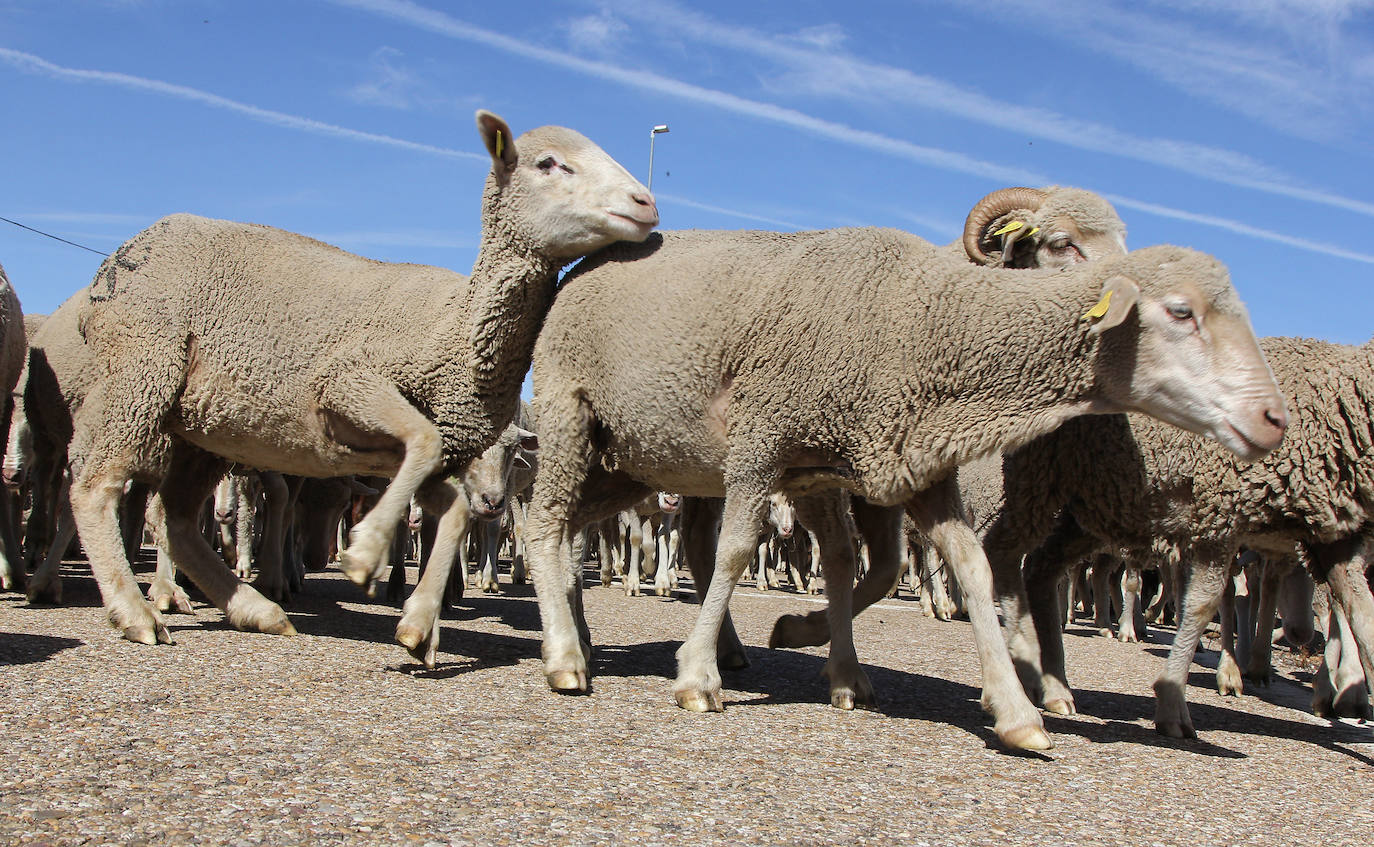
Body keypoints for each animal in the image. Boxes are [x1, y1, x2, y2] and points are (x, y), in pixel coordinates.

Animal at [66, 109, 656, 646]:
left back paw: (256, 611)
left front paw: (419, 623)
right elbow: (423, 443)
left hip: (201, 428)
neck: (451, 328)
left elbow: (454, 511)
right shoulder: (348, 383)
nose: (646, 204)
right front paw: (364, 553)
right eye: (549, 163)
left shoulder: (407, 454)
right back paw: (137, 612)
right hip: (141, 367)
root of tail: (118, 258)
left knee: (179, 521)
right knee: (97, 486)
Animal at [524, 222, 1286, 748]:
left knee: (570, 526)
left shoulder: (914, 471)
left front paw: (1016, 714)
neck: (921, 324)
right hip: (569, 409)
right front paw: (696, 678)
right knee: (545, 522)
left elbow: (969, 569)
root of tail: (585, 265)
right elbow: (740, 552)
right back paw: (564, 656)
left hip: (629, 458)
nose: (1274, 419)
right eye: (1181, 312)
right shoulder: (764, 436)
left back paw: (581, 632)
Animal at [983, 335, 1374, 737]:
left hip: (1096, 504)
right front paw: (1172, 701)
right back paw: (1023, 662)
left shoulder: (1334, 539)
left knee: (1041, 569)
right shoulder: (1221, 511)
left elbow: (1362, 614)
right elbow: (1202, 605)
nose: (1299, 635)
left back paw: (1056, 686)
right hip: (1040, 476)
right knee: (1003, 552)